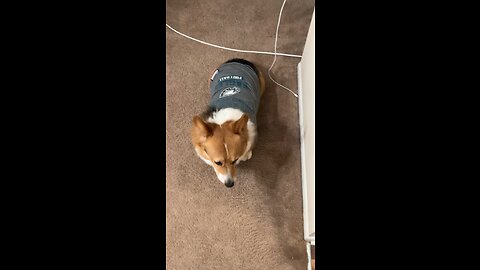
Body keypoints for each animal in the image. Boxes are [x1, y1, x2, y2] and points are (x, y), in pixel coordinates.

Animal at [191, 58, 266, 187]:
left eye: (234, 160)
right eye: (218, 162)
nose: (229, 184)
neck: (224, 120)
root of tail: (239, 60)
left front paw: (247, 154)